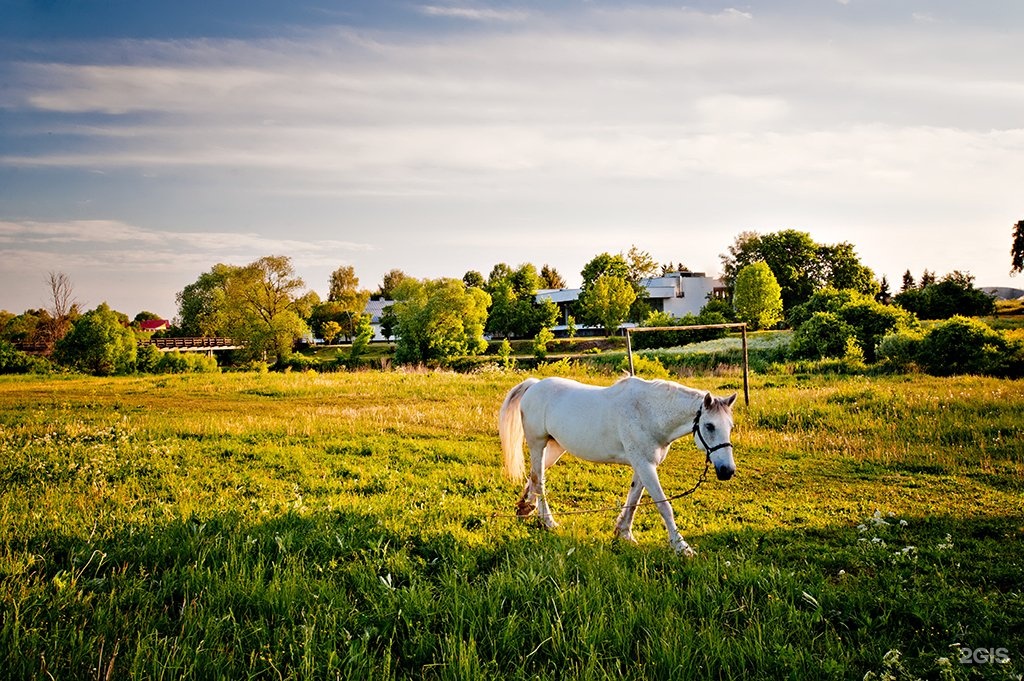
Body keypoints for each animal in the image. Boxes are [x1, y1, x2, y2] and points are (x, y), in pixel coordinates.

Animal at [497, 374, 733, 557]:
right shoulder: (644, 465)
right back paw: (548, 522)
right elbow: (664, 506)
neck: (649, 413)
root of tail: (534, 385)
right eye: (709, 426)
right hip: (538, 444)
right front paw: (682, 547)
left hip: (555, 448)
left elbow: (633, 501)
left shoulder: (643, 465)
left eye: (730, 426)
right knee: (539, 481)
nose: (727, 471)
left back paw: (525, 508)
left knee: (534, 476)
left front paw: (624, 533)